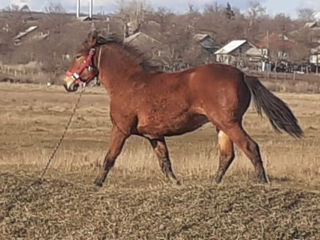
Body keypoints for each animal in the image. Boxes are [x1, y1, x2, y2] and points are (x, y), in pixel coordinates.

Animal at [63, 31, 302, 187]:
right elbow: (165, 162)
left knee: (251, 147)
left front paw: (96, 183)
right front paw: (176, 184)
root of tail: (243, 75)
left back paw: (263, 182)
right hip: (222, 126)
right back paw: (213, 183)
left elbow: (110, 157)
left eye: (78, 56)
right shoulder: (154, 135)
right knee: (227, 155)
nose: (67, 83)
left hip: (229, 123)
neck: (130, 83)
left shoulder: (121, 129)